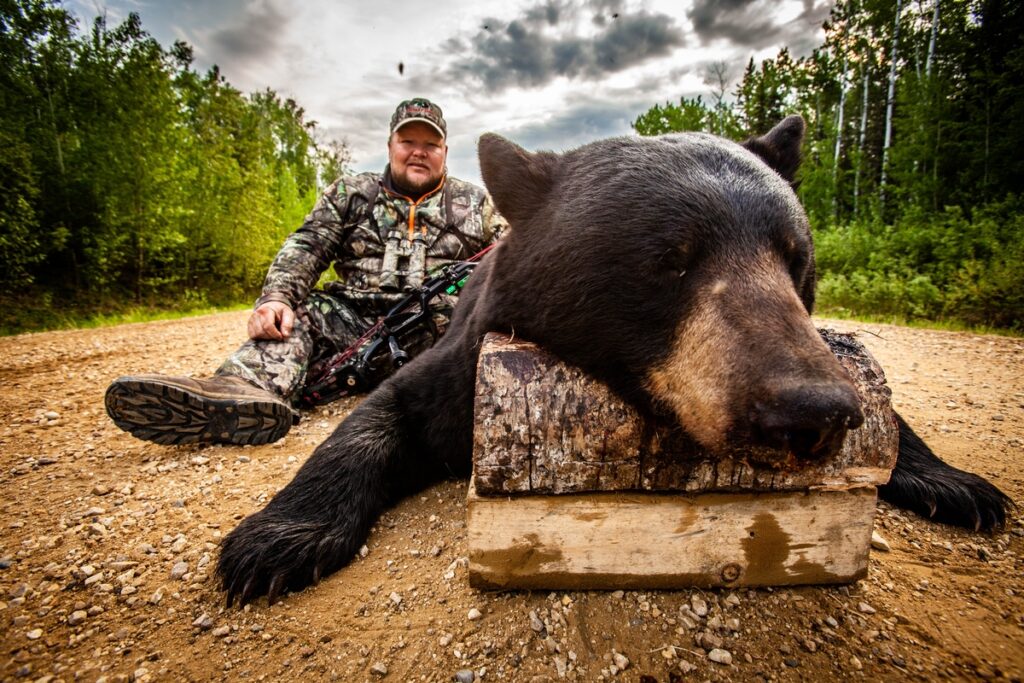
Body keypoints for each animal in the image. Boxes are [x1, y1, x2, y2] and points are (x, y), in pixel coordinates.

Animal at [217, 116, 1011, 606]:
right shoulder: (460, 360)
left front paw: (956, 483)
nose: (810, 410)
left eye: (797, 260)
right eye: (671, 261)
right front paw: (274, 541)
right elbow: (377, 418)